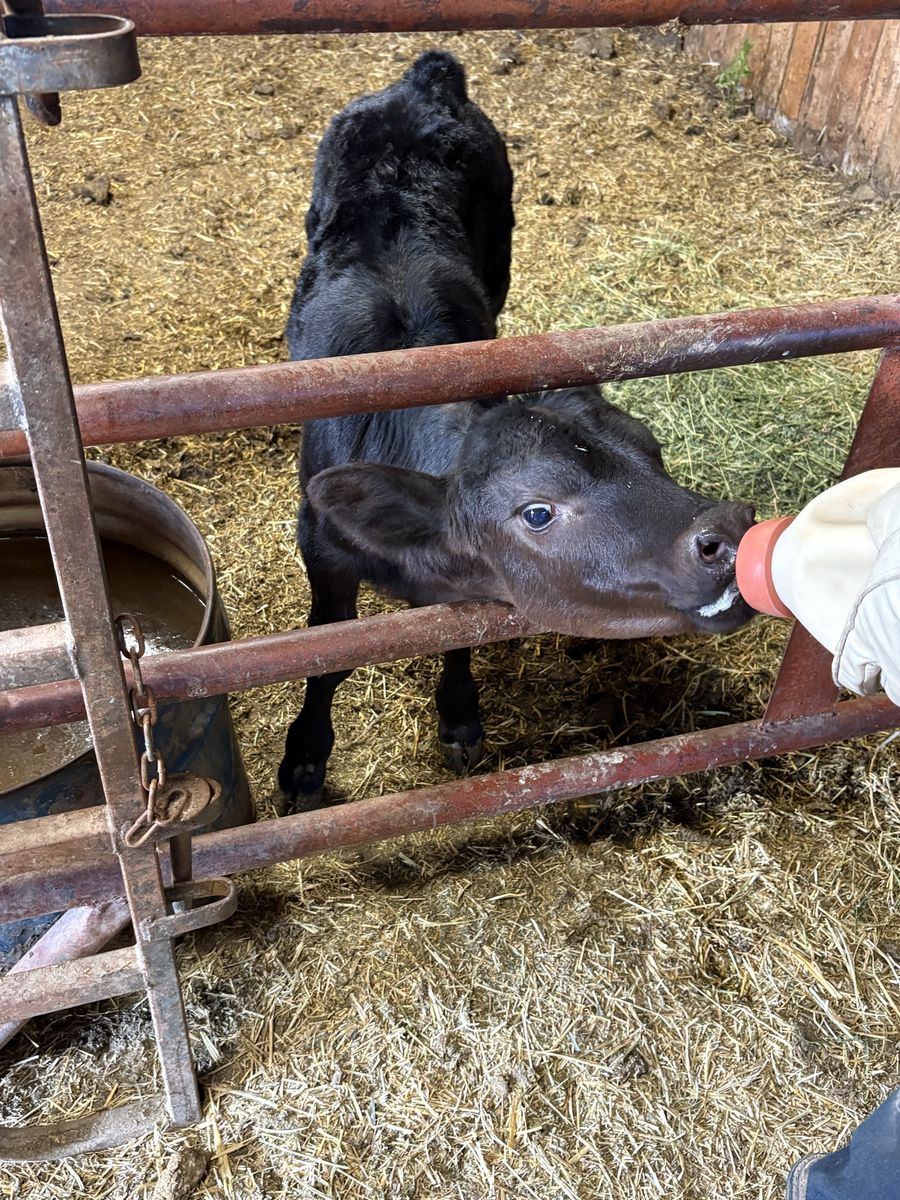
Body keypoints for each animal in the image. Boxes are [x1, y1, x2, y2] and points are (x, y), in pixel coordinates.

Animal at [278, 50, 754, 809]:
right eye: (536, 511)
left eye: (653, 450)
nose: (729, 531)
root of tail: (424, 79)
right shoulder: (320, 545)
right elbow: (325, 651)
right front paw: (304, 758)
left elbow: (454, 634)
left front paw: (460, 716)